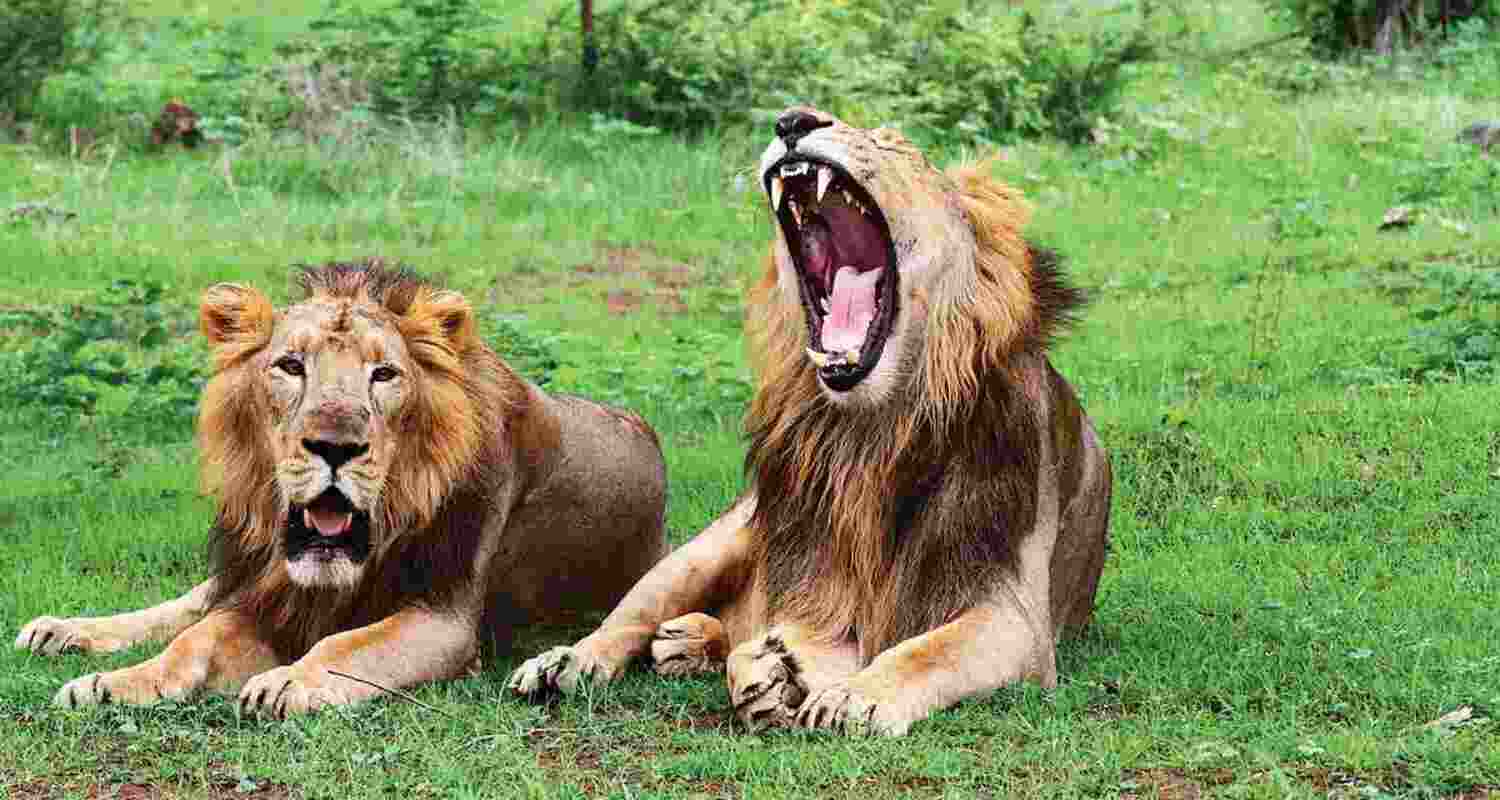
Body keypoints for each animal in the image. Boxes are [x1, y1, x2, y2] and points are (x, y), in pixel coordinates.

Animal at [16, 260, 669, 717]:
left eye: (384, 374)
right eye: (290, 366)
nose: (335, 446)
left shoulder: (444, 618)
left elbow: (345, 645)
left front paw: (286, 680)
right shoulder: (272, 596)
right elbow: (193, 641)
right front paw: (111, 685)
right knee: (192, 603)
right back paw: (62, 631)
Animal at [508, 107, 1112, 736]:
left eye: (894, 144)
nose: (793, 120)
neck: (870, 433)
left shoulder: (1014, 614)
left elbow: (923, 651)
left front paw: (848, 695)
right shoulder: (820, 588)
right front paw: (783, 675)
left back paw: (695, 643)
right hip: (710, 545)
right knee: (633, 615)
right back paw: (572, 661)